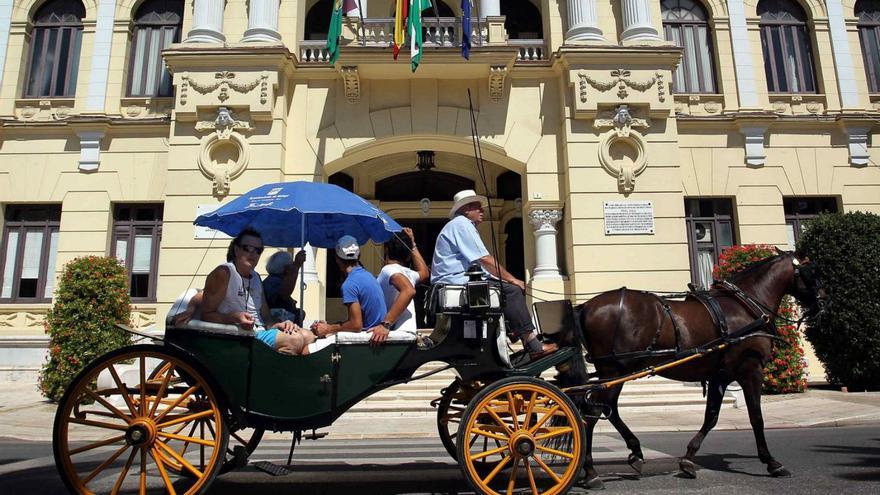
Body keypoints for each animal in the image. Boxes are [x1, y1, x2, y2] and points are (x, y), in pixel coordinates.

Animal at [556, 252, 824, 488]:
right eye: (812, 273)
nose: (822, 305)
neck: (745, 306)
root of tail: (586, 306)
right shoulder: (751, 370)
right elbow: (756, 418)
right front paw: (771, 462)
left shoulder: (720, 376)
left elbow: (711, 417)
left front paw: (688, 459)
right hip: (615, 370)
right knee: (593, 412)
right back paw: (591, 471)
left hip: (614, 372)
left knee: (606, 409)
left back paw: (634, 451)